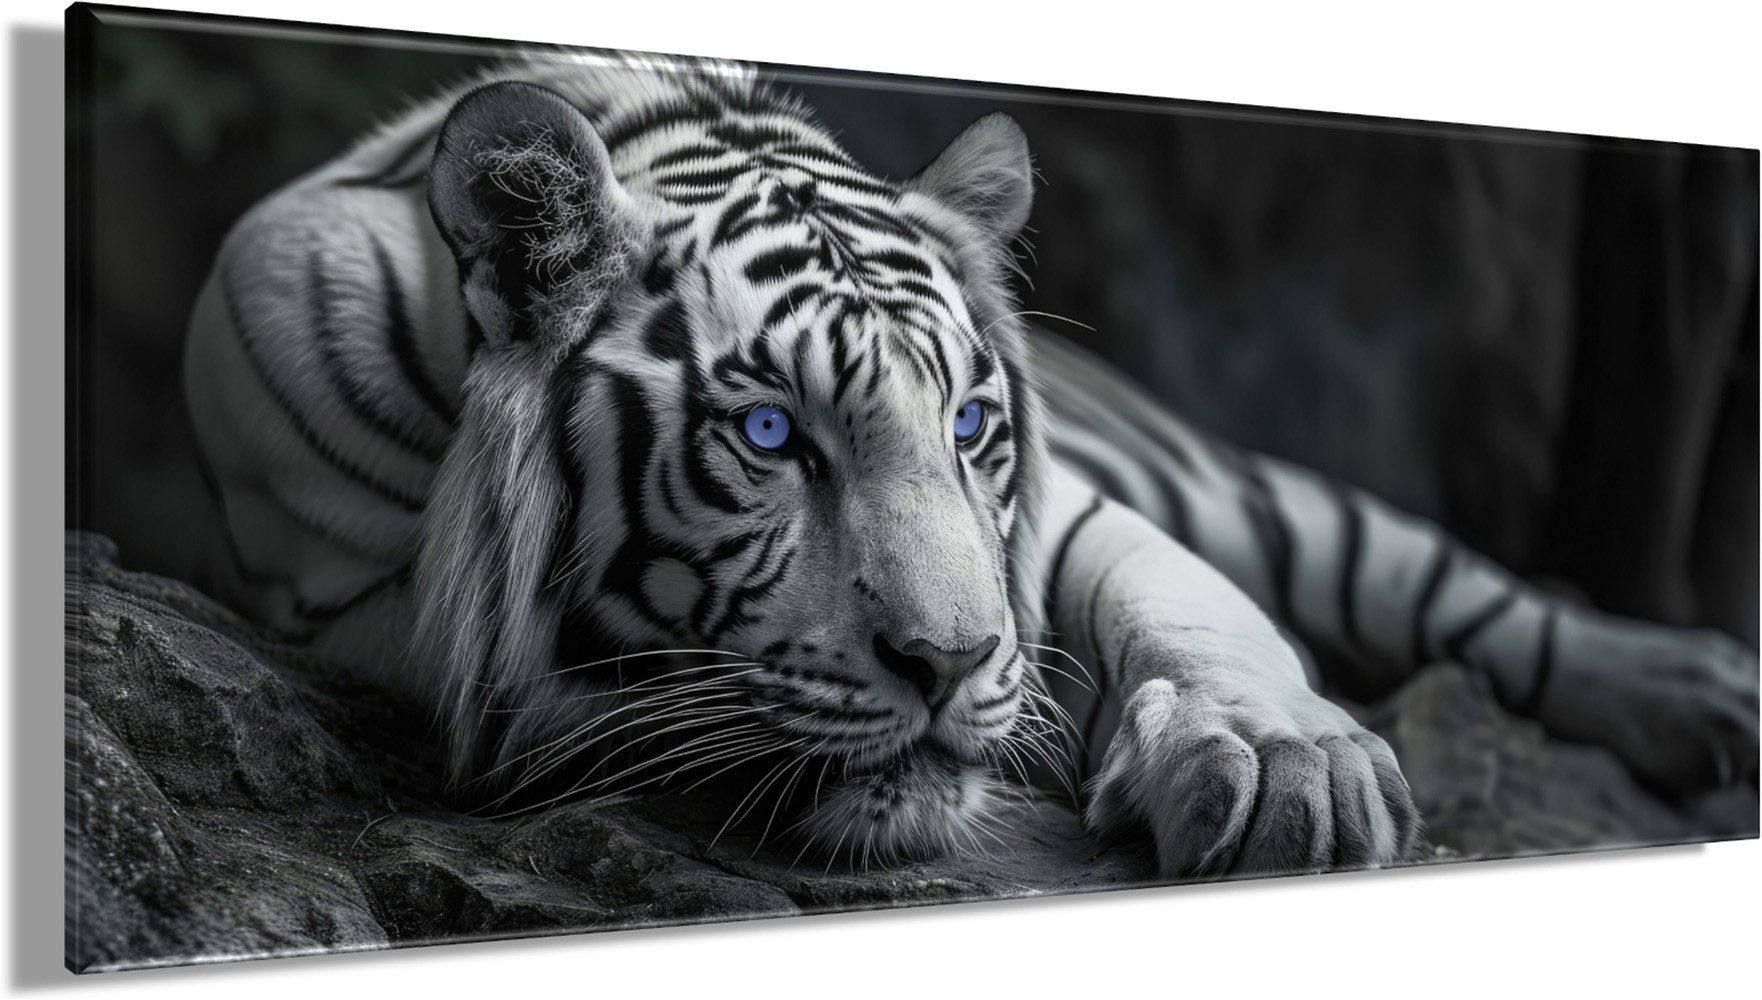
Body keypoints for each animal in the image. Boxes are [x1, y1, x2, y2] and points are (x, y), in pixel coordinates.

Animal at [182, 49, 1758, 878]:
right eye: (771, 435)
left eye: (966, 429)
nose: (946, 667)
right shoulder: (341, 593)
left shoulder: (1068, 522)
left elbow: (1194, 607)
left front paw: (1286, 765)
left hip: (1282, 506)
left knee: (1482, 597)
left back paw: (1704, 696)